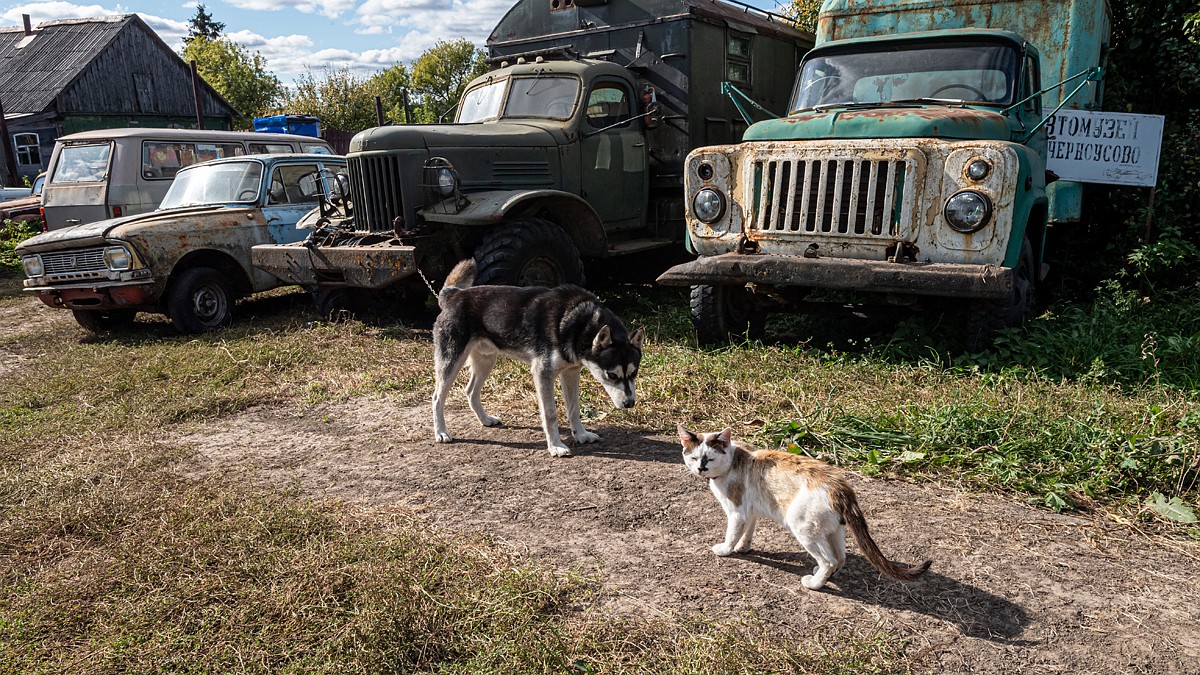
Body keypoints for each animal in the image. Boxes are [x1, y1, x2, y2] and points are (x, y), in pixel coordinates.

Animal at [427, 260, 643, 454]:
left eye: (634, 373)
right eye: (612, 375)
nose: (630, 403)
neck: (580, 322)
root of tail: (454, 294)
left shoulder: (571, 373)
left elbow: (574, 409)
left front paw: (581, 435)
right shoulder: (543, 373)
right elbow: (550, 414)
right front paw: (555, 446)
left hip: (486, 361)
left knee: (471, 391)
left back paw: (485, 419)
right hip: (451, 362)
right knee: (437, 398)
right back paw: (441, 432)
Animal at [681, 425, 931, 588]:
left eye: (710, 459)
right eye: (693, 458)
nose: (701, 469)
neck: (733, 459)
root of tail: (839, 485)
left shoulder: (736, 512)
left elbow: (732, 534)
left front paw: (726, 550)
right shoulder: (749, 512)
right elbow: (748, 533)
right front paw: (744, 547)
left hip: (802, 528)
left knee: (829, 560)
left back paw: (815, 583)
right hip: (832, 530)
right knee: (840, 557)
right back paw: (823, 575)